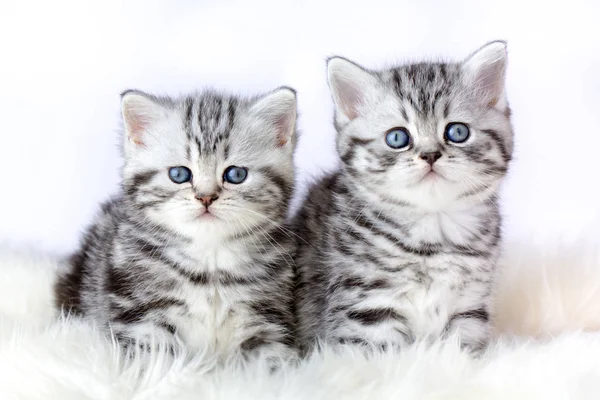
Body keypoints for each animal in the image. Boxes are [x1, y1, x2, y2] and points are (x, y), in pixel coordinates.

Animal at [55, 87, 298, 362]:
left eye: (236, 174)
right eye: (179, 174)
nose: (206, 197)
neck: (209, 262)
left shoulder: (265, 315)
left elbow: (271, 359)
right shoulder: (141, 315)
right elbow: (155, 359)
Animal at [292, 41, 512, 354]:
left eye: (457, 132)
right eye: (397, 138)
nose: (430, 155)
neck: (433, 232)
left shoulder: (470, 307)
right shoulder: (366, 307)